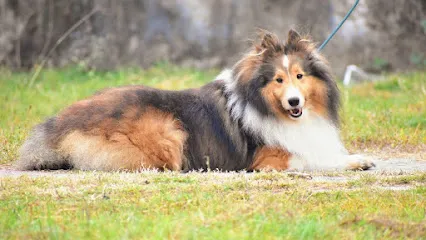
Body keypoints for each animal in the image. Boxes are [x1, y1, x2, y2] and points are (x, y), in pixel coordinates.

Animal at [15, 30, 372, 172]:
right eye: (278, 81)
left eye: (299, 76)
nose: (295, 103)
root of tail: (59, 126)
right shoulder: (267, 160)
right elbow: (314, 159)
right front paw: (352, 162)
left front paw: (359, 159)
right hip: (168, 130)